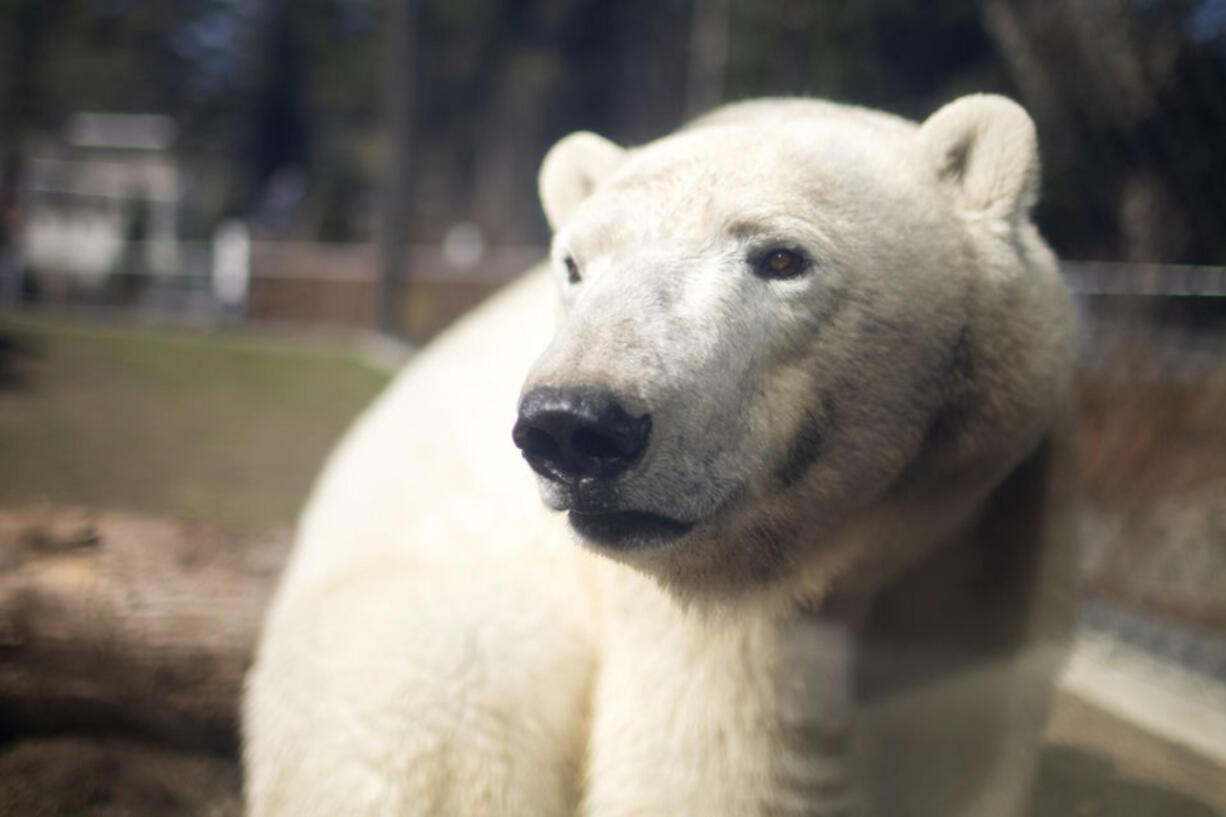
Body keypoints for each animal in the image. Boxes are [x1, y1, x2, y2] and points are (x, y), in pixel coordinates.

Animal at [243, 96, 1078, 814]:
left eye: (782, 257)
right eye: (574, 264)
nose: (575, 426)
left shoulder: (998, 518)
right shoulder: (715, 614)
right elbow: (715, 767)